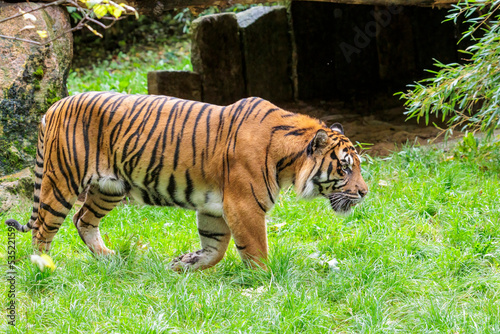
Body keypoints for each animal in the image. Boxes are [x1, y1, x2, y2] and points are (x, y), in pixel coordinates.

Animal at [4, 92, 368, 272]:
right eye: (345, 168)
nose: (365, 192)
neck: (288, 161)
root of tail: (53, 106)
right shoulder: (244, 206)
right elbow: (256, 250)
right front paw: (265, 283)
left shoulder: (215, 209)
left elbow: (215, 249)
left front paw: (184, 264)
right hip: (62, 181)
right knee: (43, 229)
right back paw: (44, 268)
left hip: (109, 187)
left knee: (83, 220)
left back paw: (109, 259)